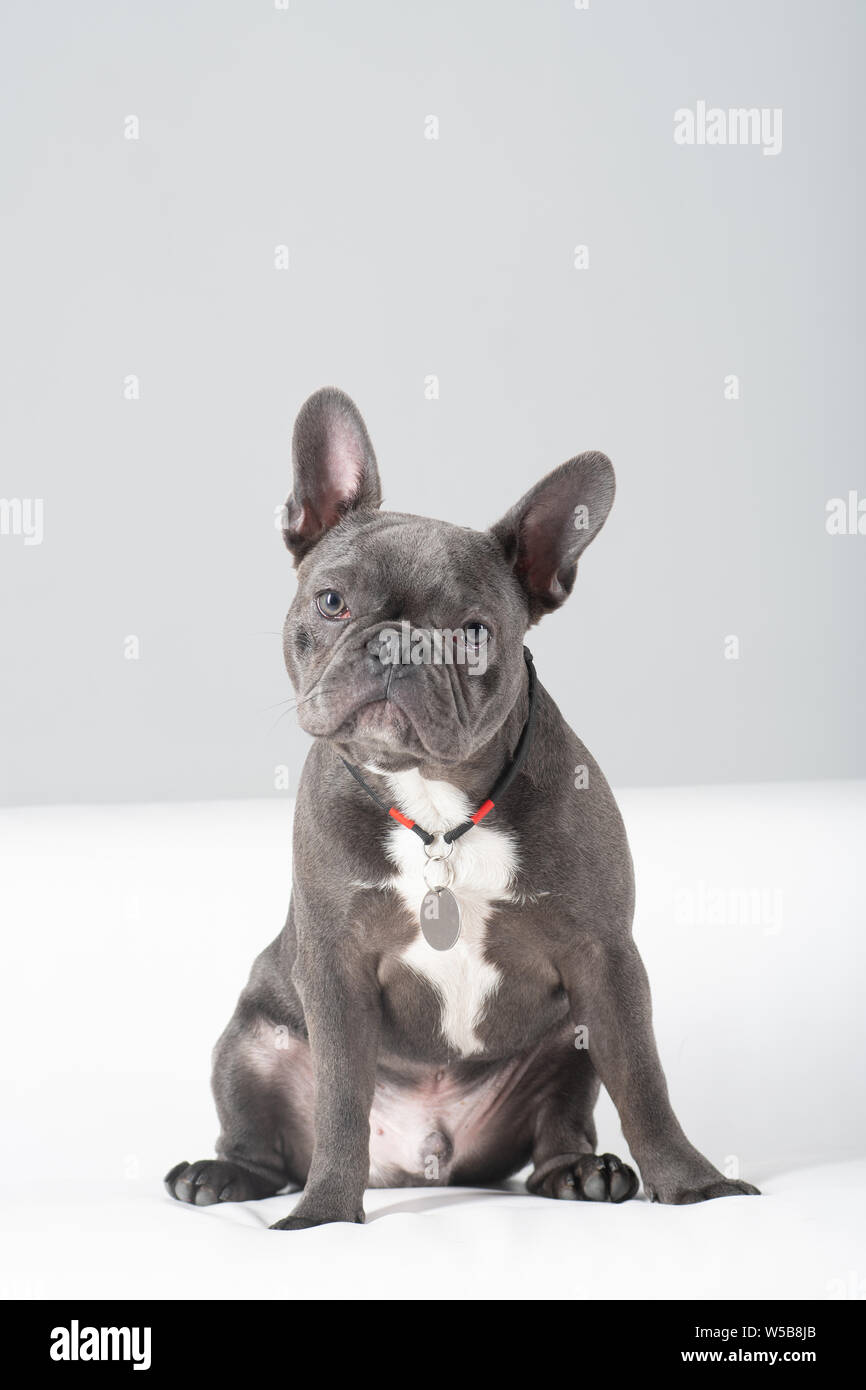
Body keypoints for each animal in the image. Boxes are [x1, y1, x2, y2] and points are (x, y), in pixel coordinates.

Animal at [164, 389, 756, 1228]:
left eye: (474, 635)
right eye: (333, 602)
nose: (397, 645)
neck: (437, 807)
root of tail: (422, 1162)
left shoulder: (606, 960)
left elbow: (645, 1083)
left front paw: (694, 1186)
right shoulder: (335, 967)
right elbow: (339, 1099)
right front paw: (324, 1215)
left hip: (569, 1041)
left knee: (562, 1125)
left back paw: (583, 1172)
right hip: (249, 1042)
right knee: (266, 1144)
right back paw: (220, 1176)